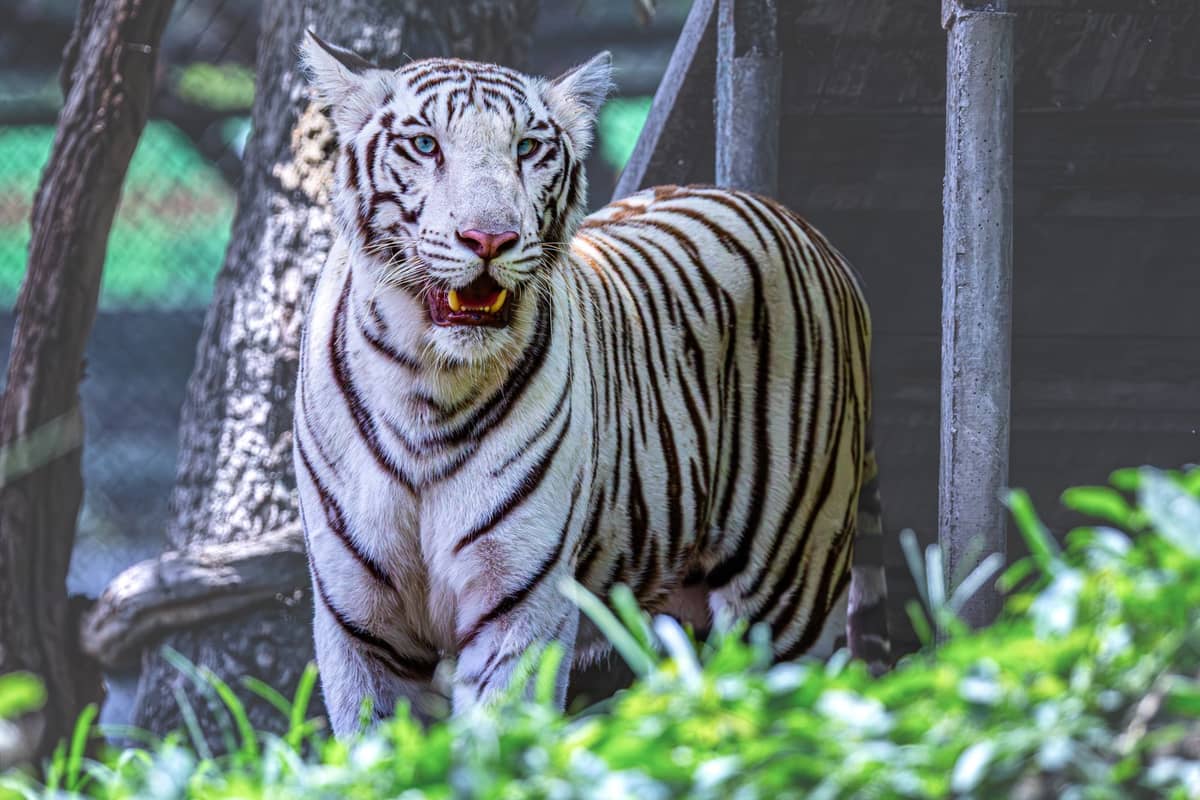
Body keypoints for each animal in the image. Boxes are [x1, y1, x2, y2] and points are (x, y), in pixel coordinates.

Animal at [294, 30, 890, 737]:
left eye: (527, 148)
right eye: (425, 145)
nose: (489, 238)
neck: (427, 384)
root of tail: (804, 227)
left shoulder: (520, 606)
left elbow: (500, 740)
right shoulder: (360, 624)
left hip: (788, 591)